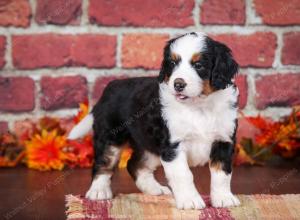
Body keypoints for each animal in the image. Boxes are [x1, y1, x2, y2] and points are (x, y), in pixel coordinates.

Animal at [68, 31, 241, 209]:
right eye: (172, 63)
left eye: (198, 65)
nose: (178, 84)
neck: (199, 107)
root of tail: (110, 87)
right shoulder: (173, 145)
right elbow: (183, 174)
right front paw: (190, 201)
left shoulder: (224, 140)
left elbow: (222, 173)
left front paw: (224, 199)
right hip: (111, 137)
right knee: (104, 162)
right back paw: (98, 191)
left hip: (149, 145)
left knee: (134, 164)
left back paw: (154, 189)